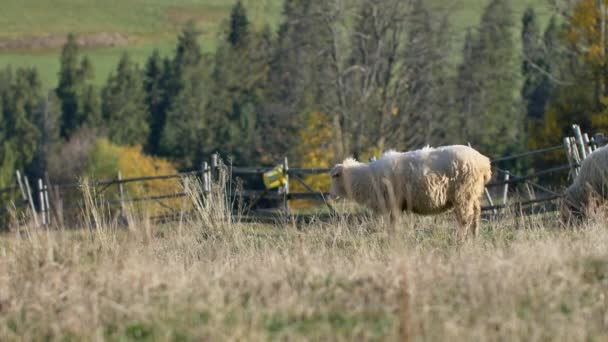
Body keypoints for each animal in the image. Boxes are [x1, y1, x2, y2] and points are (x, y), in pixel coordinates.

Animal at [330, 146, 492, 239]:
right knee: (476, 215)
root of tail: (484, 162)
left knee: (465, 219)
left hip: (463, 194)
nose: (330, 195)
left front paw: (393, 240)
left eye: (335, 177)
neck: (366, 178)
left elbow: (393, 225)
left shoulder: (394, 203)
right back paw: (474, 237)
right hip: (473, 194)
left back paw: (460, 241)